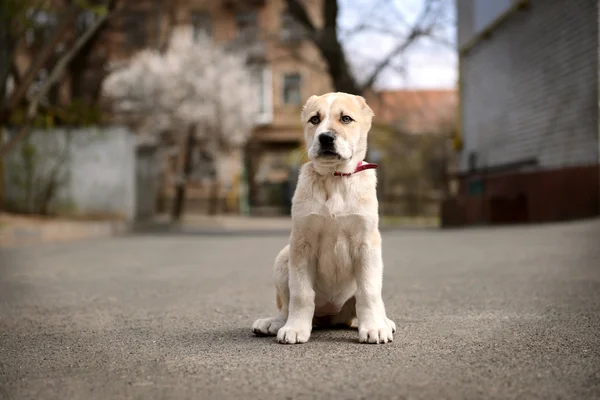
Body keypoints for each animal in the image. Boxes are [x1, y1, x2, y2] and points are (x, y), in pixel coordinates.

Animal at [252, 90, 396, 344]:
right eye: (314, 120)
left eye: (346, 119)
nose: (326, 138)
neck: (334, 179)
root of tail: (332, 316)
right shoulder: (301, 243)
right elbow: (300, 293)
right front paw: (295, 328)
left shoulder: (367, 243)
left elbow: (368, 291)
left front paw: (374, 328)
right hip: (283, 257)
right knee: (285, 307)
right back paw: (273, 323)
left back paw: (383, 321)